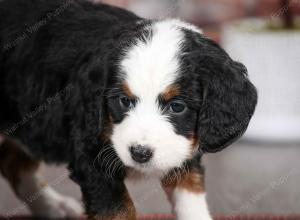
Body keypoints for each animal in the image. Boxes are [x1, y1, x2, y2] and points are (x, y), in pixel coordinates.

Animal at [0, 0, 258, 219]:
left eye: (177, 106)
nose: (140, 153)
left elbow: (190, 196)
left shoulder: (184, 150)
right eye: (124, 101)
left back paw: (53, 207)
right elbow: (118, 210)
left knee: (14, 162)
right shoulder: (90, 152)